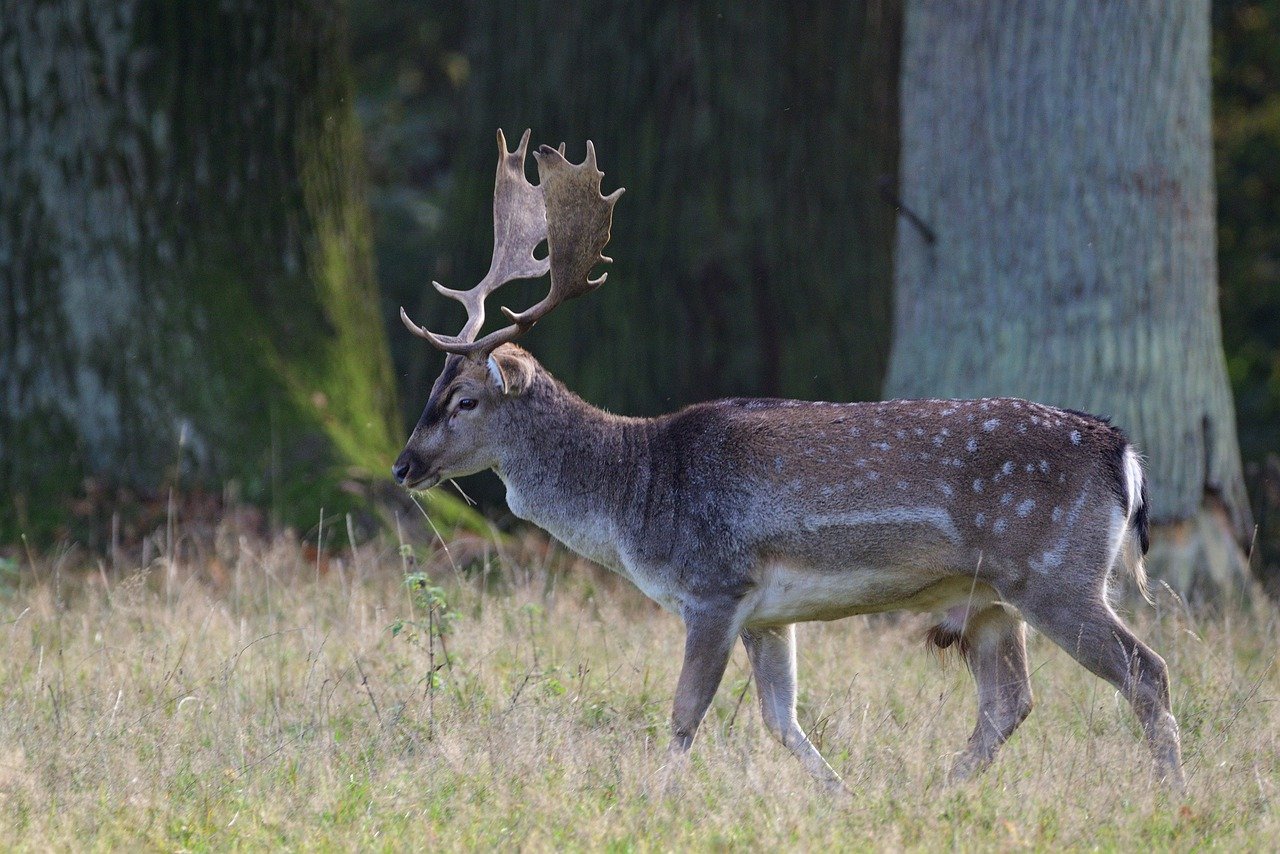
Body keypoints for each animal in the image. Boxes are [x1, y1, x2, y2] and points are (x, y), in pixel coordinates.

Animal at [394, 130, 1182, 793]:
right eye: (433, 389)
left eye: (464, 399)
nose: (403, 466)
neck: (635, 496)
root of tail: (1124, 453)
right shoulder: (767, 614)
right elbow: (782, 721)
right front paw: (841, 797)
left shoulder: (714, 585)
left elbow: (684, 715)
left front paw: (654, 800)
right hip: (992, 598)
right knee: (1009, 702)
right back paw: (937, 794)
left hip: (1055, 573)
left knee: (1147, 670)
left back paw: (1172, 794)